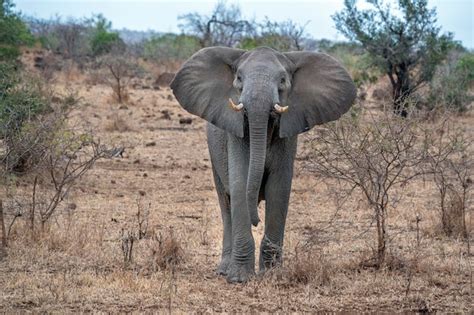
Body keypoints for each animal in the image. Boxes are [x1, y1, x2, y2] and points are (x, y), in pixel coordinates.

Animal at [170, 46, 356, 284]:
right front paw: (239, 279)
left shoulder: (287, 136)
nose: (255, 221)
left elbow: (278, 190)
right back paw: (224, 270)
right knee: (226, 202)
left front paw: (272, 274)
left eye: (283, 80)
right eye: (239, 78)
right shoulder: (236, 133)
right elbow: (240, 185)